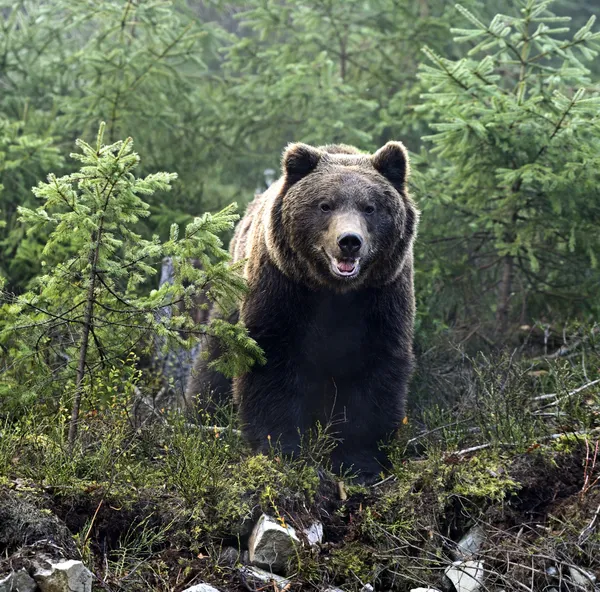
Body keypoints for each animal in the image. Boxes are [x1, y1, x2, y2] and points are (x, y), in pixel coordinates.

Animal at [186, 140, 418, 480]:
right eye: (325, 205)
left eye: (370, 207)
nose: (349, 241)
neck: (334, 291)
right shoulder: (283, 289)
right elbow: (270, 361)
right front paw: (281, 448)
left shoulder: (381, 298)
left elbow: (374, 373)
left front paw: (360, 462)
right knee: (214, 361)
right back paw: (200, 415)